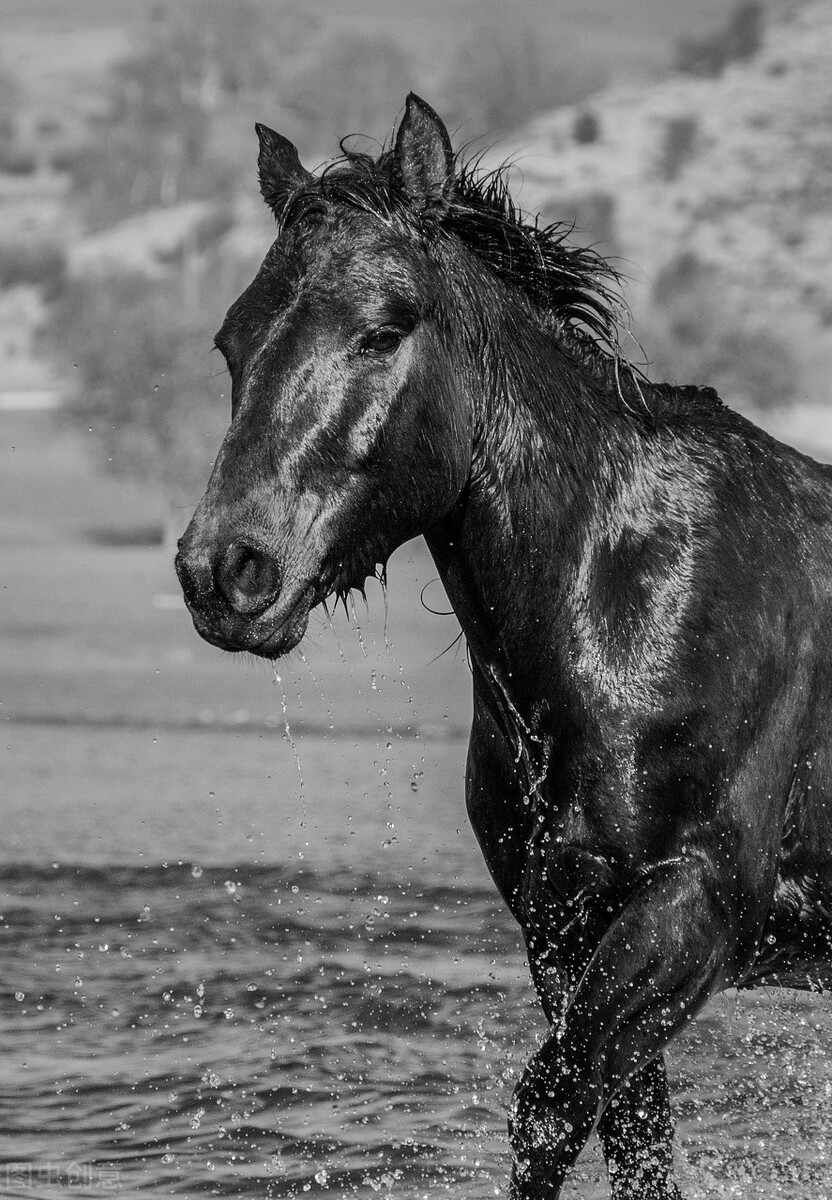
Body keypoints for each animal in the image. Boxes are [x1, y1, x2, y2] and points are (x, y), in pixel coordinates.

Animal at [175, 94, 832, 1198]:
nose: (224, 570)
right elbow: (631, 1135)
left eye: (383, 329)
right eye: (232, 340)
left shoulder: (692, 905)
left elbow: (549, 1110)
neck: (626, 602)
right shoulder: (564, 925)